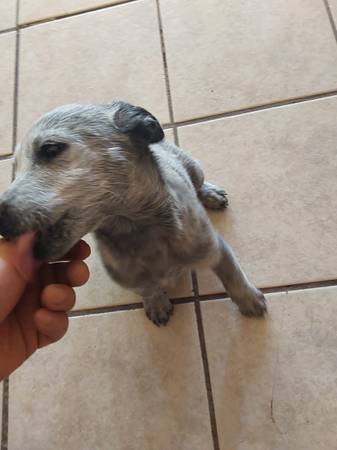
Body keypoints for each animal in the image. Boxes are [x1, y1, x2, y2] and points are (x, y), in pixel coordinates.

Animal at [0, 102, 266, 326]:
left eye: (50, 149)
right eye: (14, 169)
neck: (140, 233)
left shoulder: (216, 249)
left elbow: (233, 275)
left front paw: (249, 299)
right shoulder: (130, 279)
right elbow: (147, 288)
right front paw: (156, 302)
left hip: (195, 167)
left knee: (199, 183)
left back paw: (210, 193)